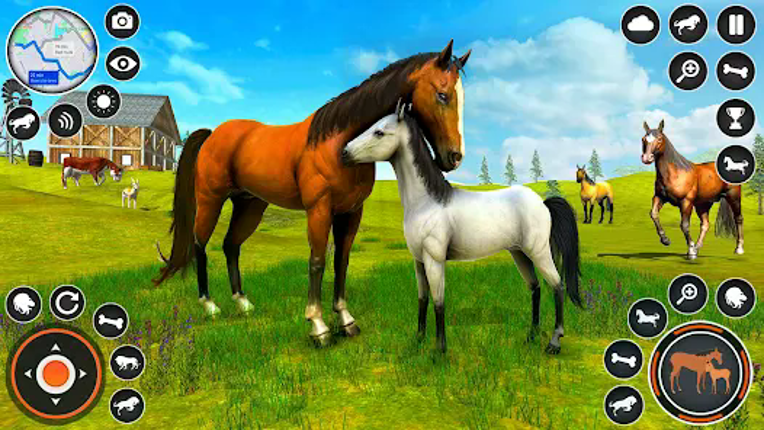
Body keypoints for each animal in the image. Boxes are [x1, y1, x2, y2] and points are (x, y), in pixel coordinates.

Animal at [154, 41, 472, 346]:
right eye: (442, 94)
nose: (454, 158)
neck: (337, 143)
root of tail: (213, 135)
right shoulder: (319, 209)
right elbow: (317, 261)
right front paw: (318, 327)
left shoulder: (351, 211)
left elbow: (341, 261)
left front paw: (346, 320)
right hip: (211, 199)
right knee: (200, 244)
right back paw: (210, 306)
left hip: (249, 205)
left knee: (231, 245)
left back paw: (243, 303)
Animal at [341, 104, 581, 354]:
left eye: (379, 132)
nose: (344, 152)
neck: (428, 202)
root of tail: (543, 203)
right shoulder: (418, 261)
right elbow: (422, 300)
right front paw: (418, 342)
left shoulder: (434, 260)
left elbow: (439, 303)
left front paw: (439, 351)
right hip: (520, 254)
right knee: (535, 288)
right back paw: (531, 337)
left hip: (539, 252)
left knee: (557, 286)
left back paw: (554, 343)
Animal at [641, 120, 743, 259]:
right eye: (643, 139)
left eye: (660, 139)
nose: (647, 158)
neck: (675, 173)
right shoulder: (659, 197)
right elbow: (654, 214)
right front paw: (665, 240)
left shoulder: (686, 201)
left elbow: (684, 225)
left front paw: (690, 250)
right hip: (703, 204)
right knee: (705, 224)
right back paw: (697, 248)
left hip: (733, 197)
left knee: (738, 219)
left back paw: (738, 248)